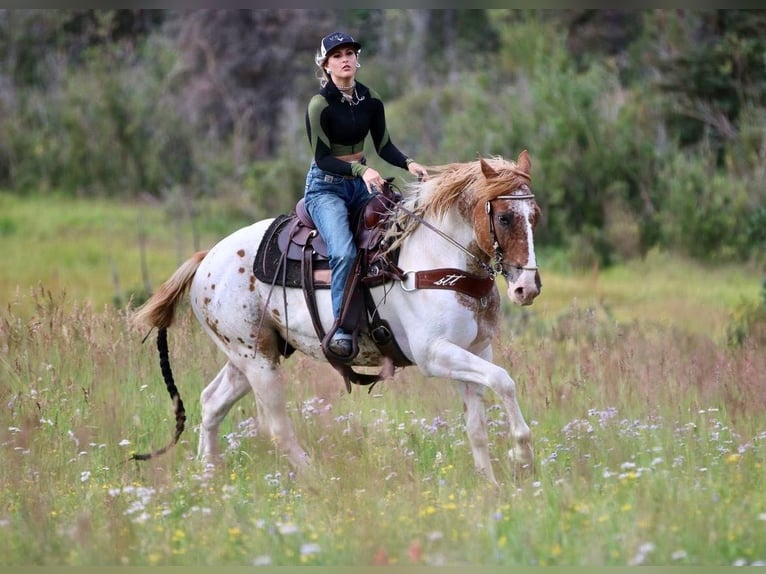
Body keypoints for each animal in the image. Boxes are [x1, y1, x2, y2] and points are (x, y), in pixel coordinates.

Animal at [130, 150, 540, 486]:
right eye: (505, 217)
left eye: (534, 216)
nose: (527, 288)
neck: (433, 258)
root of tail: (206, 260)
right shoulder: (434, 354)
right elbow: (504, 382)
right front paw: (521, 455)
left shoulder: (474, 351)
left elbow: (477, 425)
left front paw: (492, 485)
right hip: (257, 362)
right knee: (275, 426)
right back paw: (318, 479)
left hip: (249, 355)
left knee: (212, 402)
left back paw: (209, 477)